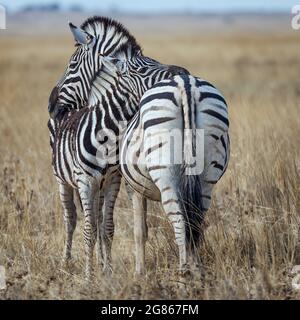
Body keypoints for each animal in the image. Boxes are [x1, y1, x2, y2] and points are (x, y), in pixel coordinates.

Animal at [47, 16, 188, 278]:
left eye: (72, 65)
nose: (52, 105)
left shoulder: (115, 179)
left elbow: (108, 225)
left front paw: (107, 270)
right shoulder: (91, 180)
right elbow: (93, 228)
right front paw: (89, 277)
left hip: (99, 185)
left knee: (97, 217)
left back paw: (100, 261)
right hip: (63, 179)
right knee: (71, 218)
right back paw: (65, 262)